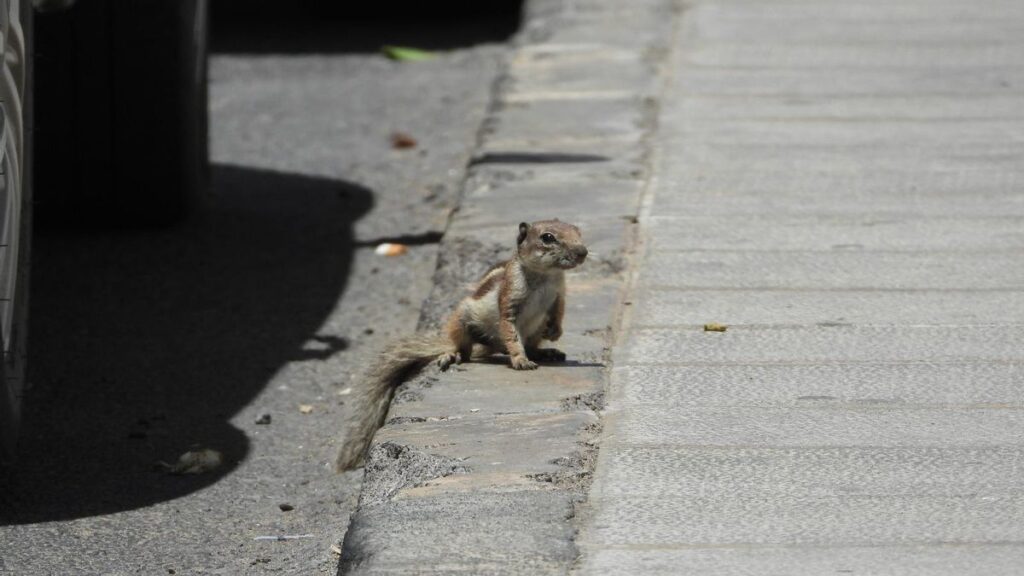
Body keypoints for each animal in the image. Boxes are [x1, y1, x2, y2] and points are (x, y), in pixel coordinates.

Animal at [336, 219, 588, 471]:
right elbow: (511, 333)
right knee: (464, 349)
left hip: (532, 330)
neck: (545, 275)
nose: (582, 252)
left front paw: (555, 332)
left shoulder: (559, 293)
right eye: (547, 237)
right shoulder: (509, 300)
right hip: (461, 319)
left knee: (527, 343)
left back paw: (546, 351)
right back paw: (452, 354)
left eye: (578, 231)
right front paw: (520, 359)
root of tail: (491, 346)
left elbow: (558, 311)